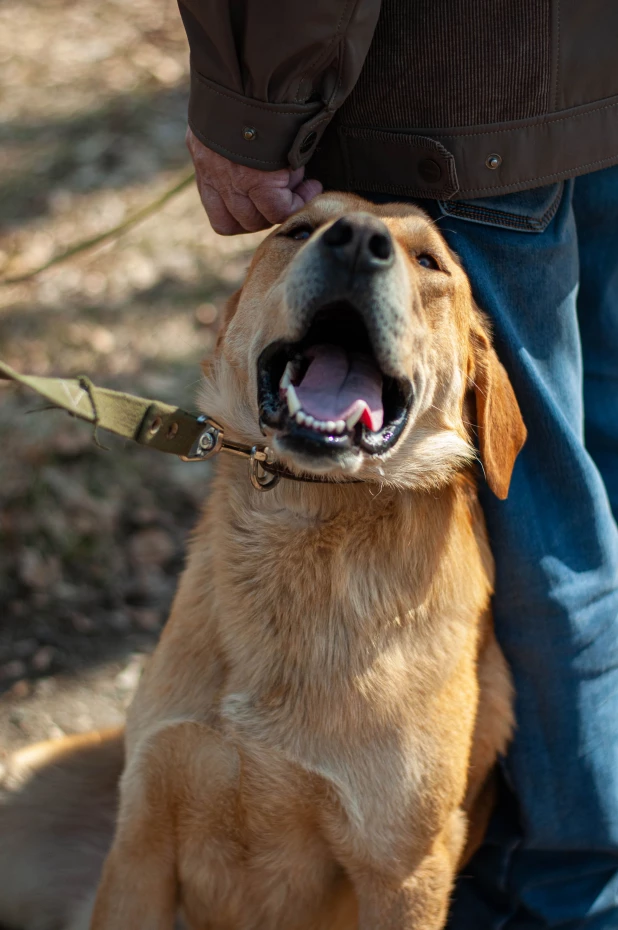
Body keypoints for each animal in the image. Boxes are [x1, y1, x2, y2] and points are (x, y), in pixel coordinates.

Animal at [0, 190, 524, 928]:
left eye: (430, 261)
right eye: (299, 230)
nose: (355, 241)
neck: (305, 524)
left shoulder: (404, 873)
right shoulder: (140, 840)